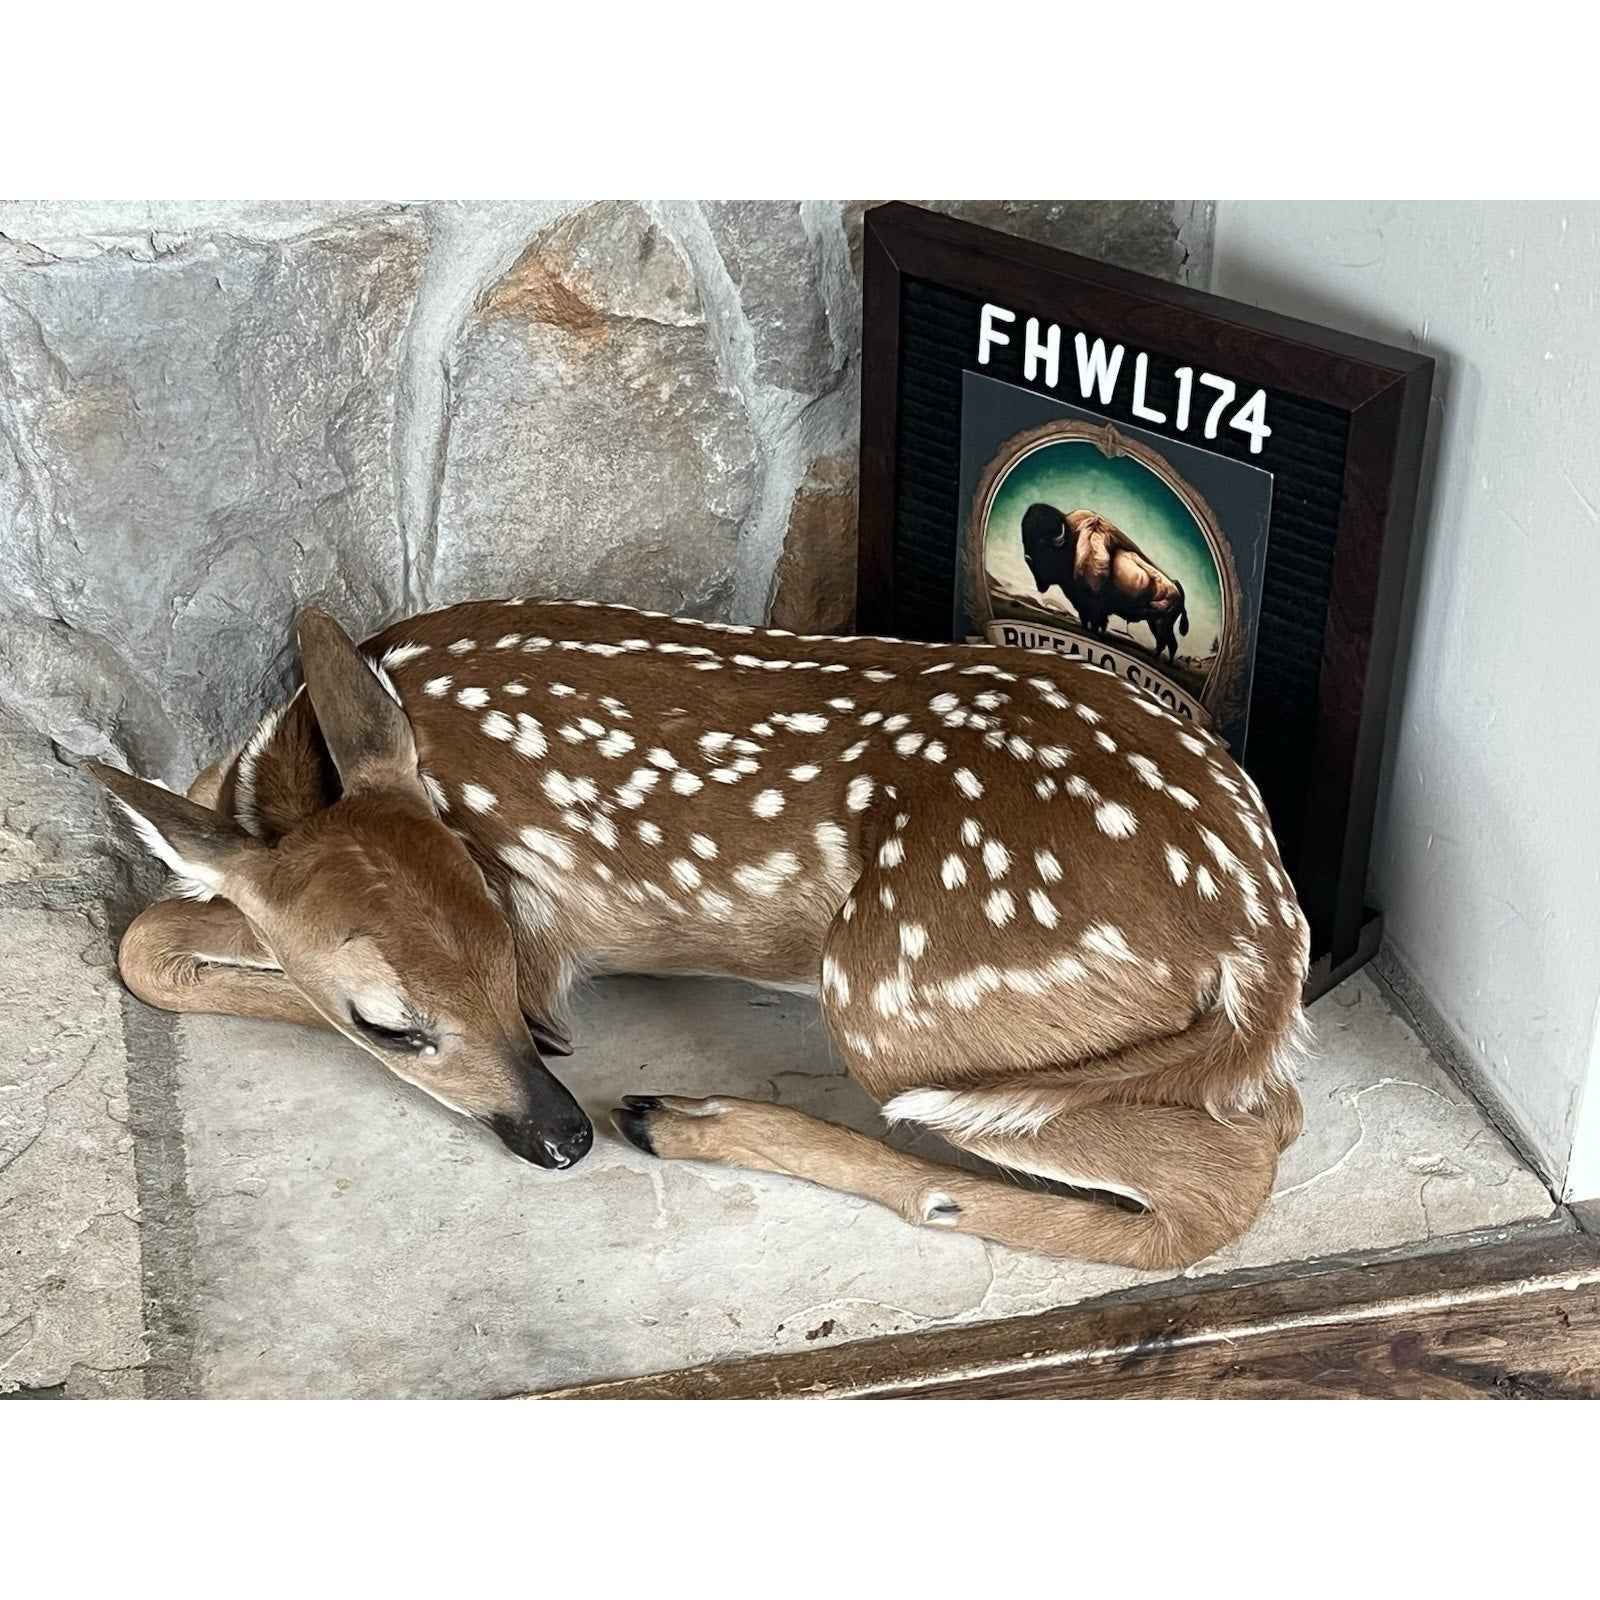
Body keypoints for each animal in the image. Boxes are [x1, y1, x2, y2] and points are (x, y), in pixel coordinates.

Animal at [91, 598, 1311, 1269]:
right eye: (390, 1023)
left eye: (506, 956)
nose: (561, 1135)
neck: (278, 769)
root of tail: (1261, 931)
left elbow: (144, 944)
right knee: (1274, 1116)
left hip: (905, 1000)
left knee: (1221, 1183)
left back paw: (682, 1119)